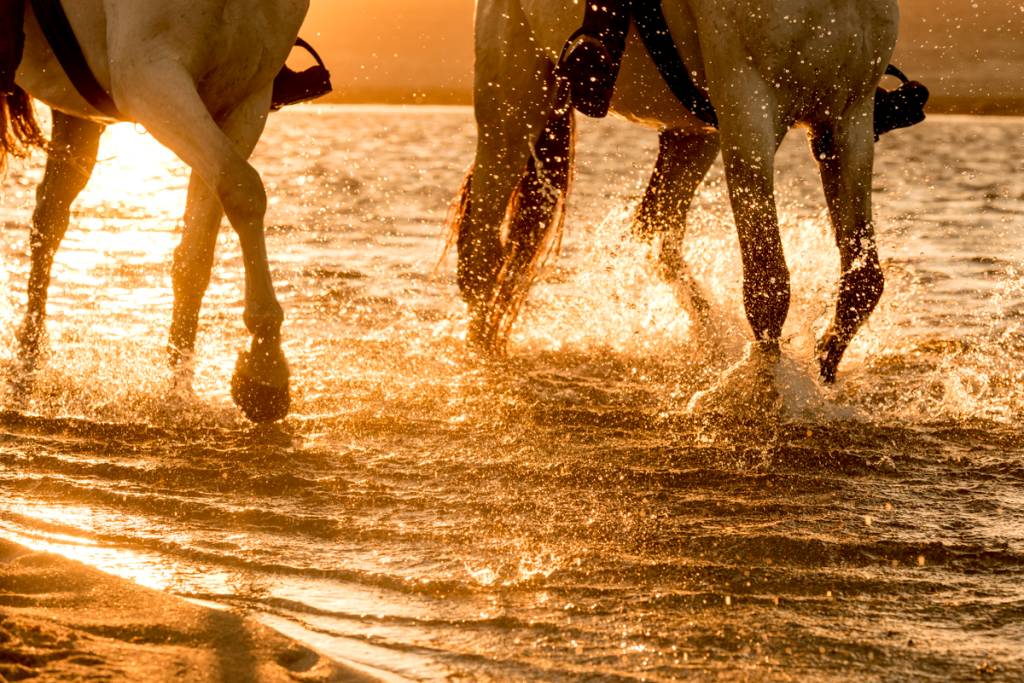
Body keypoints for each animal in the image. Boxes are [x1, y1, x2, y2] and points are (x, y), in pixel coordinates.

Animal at [3, 0, 311, 421]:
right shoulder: (150, 77)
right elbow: (242, 186)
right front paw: (265, 367)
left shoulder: (244, 100)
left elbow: (206, 236)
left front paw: (182, 391)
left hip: (76, 116)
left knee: (49, 220)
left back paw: (27, 365)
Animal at [452, 0, 901, 385]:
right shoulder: (748, 113)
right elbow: (767, 282)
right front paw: (769, 390)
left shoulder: (848, 121)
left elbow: (864, 281)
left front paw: (825, 368)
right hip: (513, 108)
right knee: (480, 252)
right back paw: (480, 359)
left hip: (694, 135)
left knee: (655, 235)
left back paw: (714, 345)